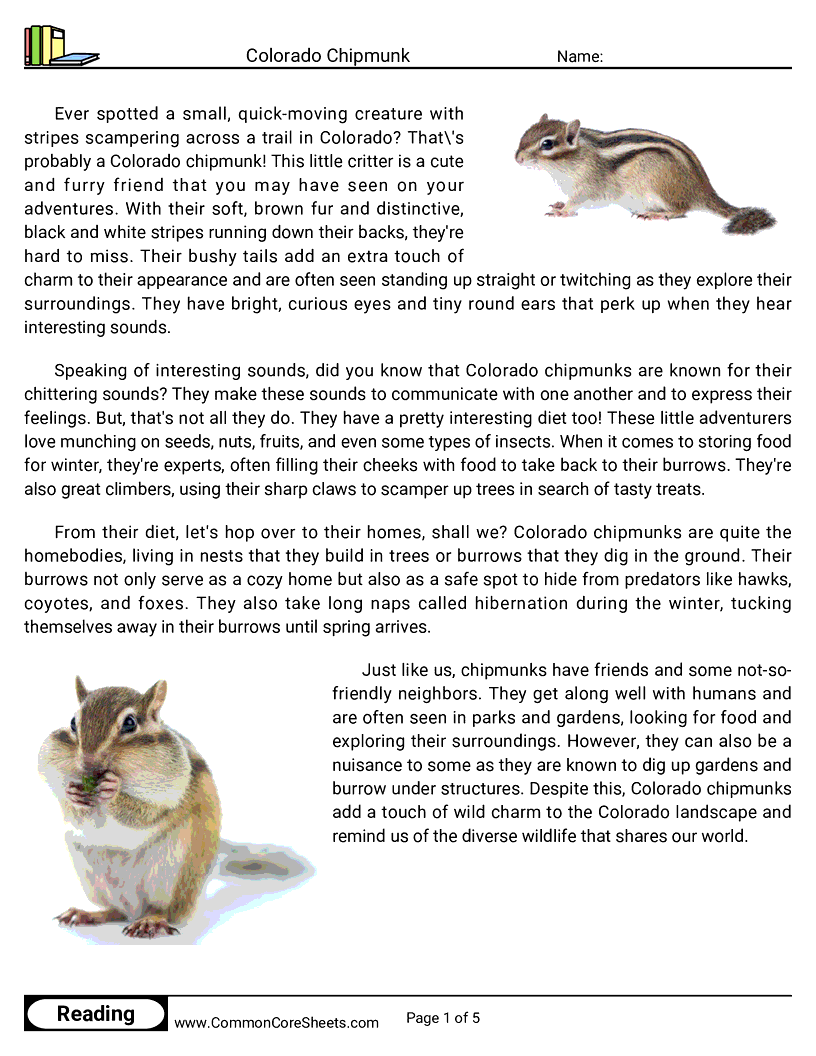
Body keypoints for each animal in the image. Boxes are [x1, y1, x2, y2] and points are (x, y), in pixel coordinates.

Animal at [39, 677, 224, 939]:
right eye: (73, 723)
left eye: (129, 723)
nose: (88, 763)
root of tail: (135, 908)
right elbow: (73, 813)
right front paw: (72, 794)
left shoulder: (171, 788)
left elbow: (145, 814)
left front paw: (114, 790)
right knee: (115, 911)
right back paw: (86, 914)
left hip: (175, 875)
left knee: (165, 911)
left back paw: (150, 921)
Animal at [515, 114, 776, 234]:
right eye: (526, 133)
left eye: (547, 144)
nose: (517, 158)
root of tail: (703, 189)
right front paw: (560, 204)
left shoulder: (588, 184)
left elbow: (578, 201)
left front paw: (563, 211)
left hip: (658, 186)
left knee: (682, 209)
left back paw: (657, 214)